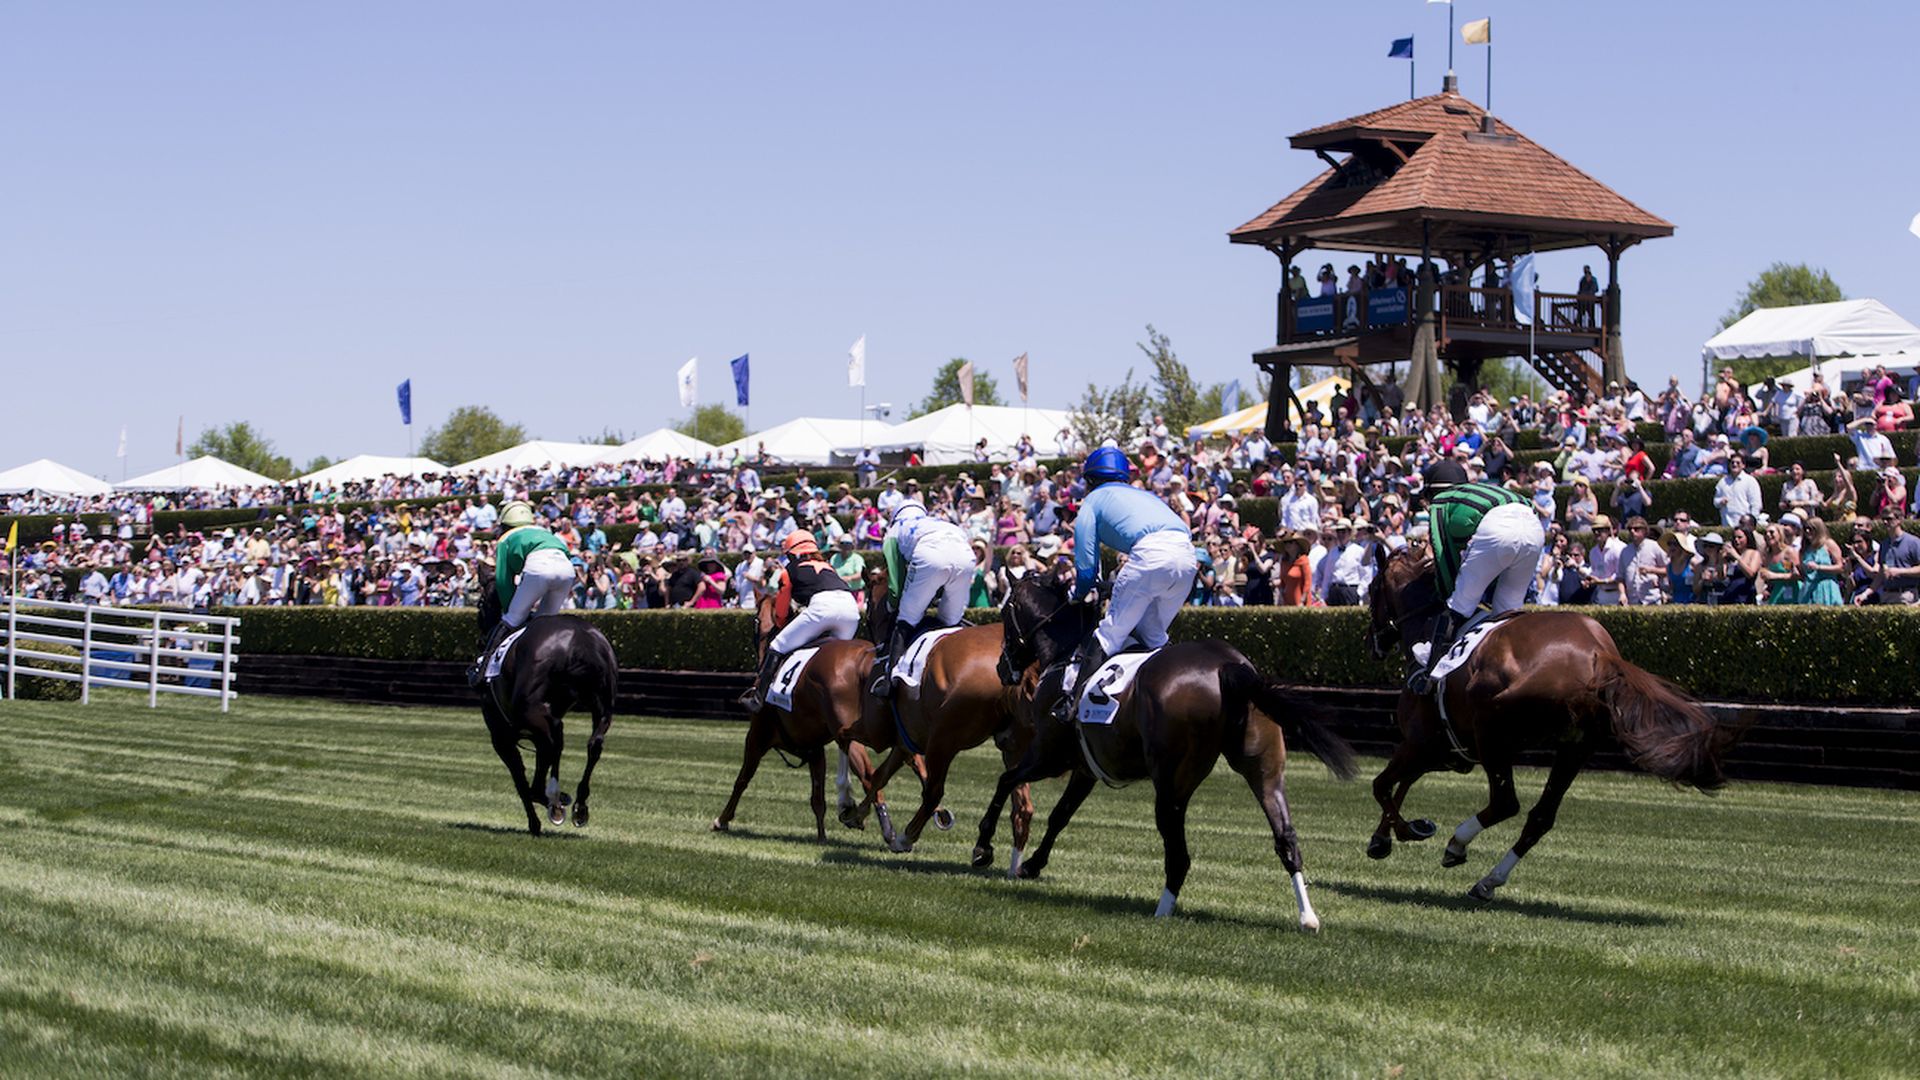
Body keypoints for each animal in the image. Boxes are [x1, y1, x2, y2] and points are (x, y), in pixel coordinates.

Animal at [476, 586, 619, 836]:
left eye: (480, 603)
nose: (480, 634)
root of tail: (581, 639)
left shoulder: (501, 737)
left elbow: (521, 780)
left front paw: (539, 819)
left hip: (535, 713)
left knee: (554, 743)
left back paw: (555, 798)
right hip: (602, 705)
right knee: (592, 744)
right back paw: (579, 806)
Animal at [711, 591, 941, 845]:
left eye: (756, 621)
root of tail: (870, 660)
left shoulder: (757, 736)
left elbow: (742, 779)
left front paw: (722, 820)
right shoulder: (814, 748)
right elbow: (817, 798)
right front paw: (821, 836)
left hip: (852, 731)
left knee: (870, 774)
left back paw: (873, 821)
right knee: (910, 759)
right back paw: (933, 811)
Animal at [860, 569, 1033, 869]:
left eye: (867, 605)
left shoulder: (909, 737)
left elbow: (883, 773)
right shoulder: (907, 738)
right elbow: (880, 775)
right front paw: (853, 814)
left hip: (943, 741)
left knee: (933, 793)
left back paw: (905, 838)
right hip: (1015, 746)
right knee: (1023, 807)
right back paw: (1008, 862)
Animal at [987, 567, 1358, 927]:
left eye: (1005, 611)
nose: (1001, 667)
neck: (1066, 654)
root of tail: (1228, 666)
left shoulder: (1049, 755)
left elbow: (1007, 781)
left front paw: (984, 847)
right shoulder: (1086, 768)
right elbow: (1060, 815)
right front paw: (1031, 865)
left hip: (1172, 779)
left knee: (1177, 851)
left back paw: (1162, 910)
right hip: (1263, 766)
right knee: (1286, 836)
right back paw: (1307, 917)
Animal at [1364, 546, 1737, 900]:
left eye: (1370, 589)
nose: (1373, 642)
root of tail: (1598, 654)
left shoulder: (1422, 743)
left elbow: (1382, 785)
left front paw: (1409, 830)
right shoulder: (1445, 752)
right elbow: (1400, 783)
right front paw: (1381, 838)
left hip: (1493, 733)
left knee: (1506, 803)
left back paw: (1457, 844)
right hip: (1575, 749)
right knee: (1540, 816)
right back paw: (1488, 881)